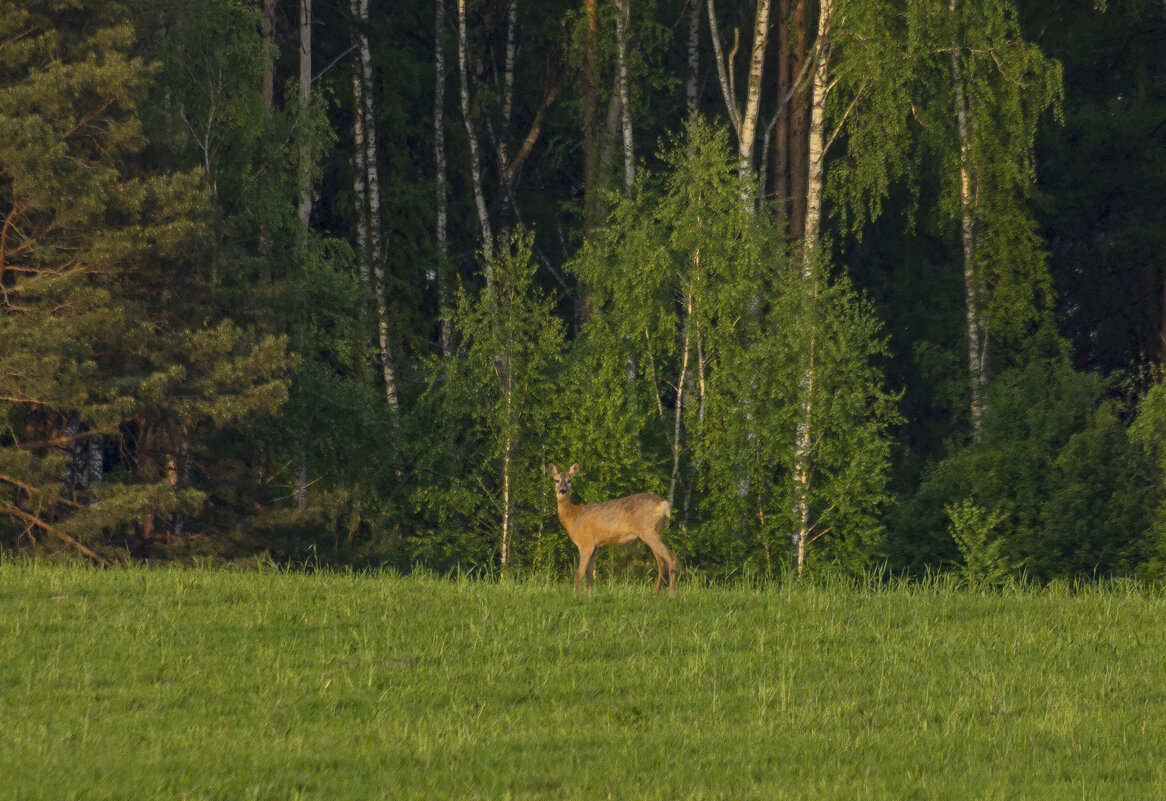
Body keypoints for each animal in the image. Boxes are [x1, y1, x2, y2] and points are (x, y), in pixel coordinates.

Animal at [548, 461, 680, 596]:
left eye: (569, 480)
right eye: (556, 480)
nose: (562, 490)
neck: (573, 518)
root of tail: (664, 504)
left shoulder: (585, 542)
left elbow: (579, 572)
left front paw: (574, 596)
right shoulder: (595, 545)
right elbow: (589, 571)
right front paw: (590, 596)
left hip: (649, 532)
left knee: (671, 557)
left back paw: (671, 595)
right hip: (654, 532)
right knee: (661, 562)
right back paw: (655, 594)